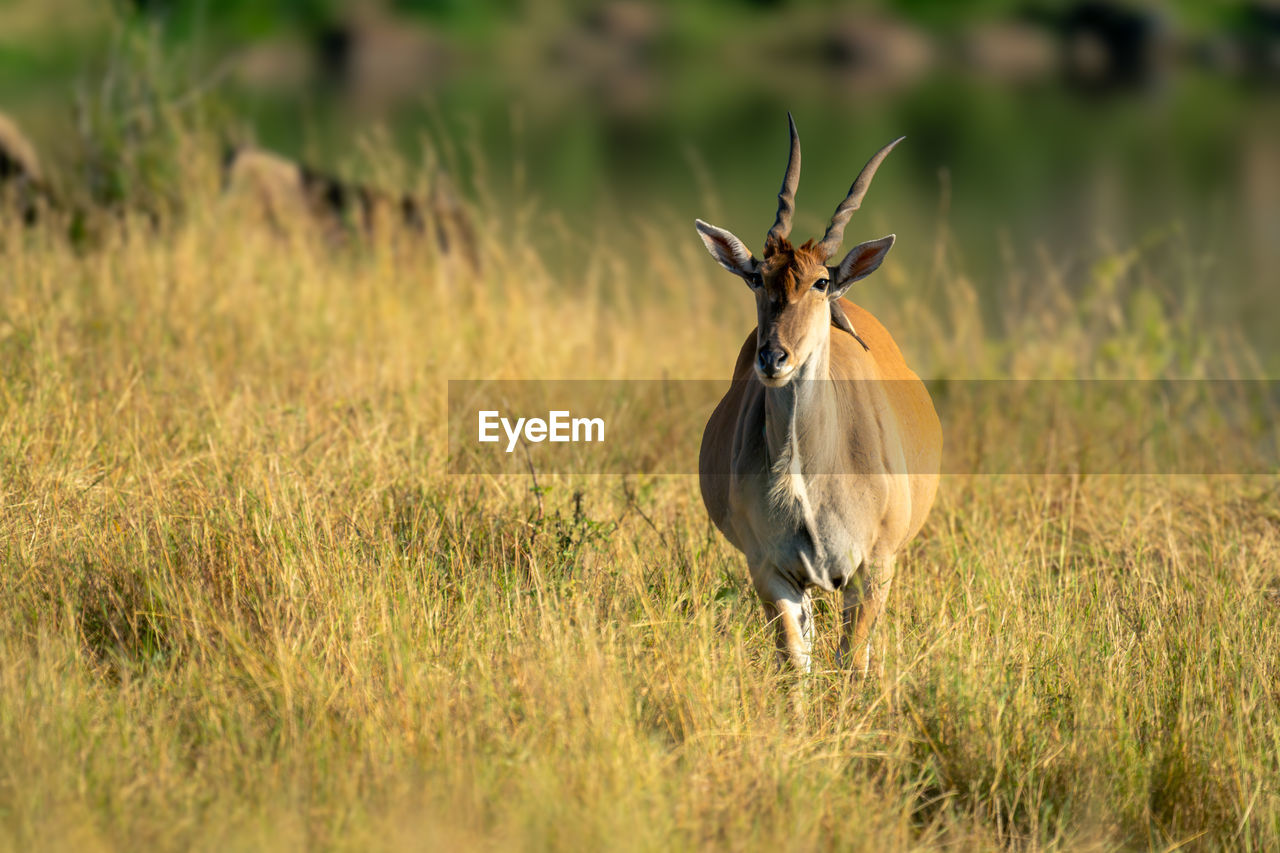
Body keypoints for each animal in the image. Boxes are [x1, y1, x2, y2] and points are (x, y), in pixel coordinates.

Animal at [701, 112, 942, 676]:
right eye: (757, 277)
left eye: (820, 281)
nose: (773, 358)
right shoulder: (773, 572)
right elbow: (796, 666)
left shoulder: (874, 569)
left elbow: (852, 663)